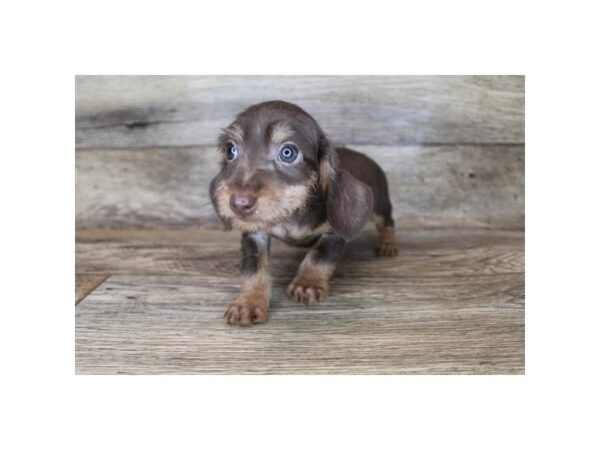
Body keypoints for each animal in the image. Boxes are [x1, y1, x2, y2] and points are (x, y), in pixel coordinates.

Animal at [209, 100, 396, 326]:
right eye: (230, 150)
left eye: (288, 152)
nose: (239, 203)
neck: (292, 213)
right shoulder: (255, 234)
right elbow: (254, 267)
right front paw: (249, 301)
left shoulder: (334, 233)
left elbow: (319, 254)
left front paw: (308, 283)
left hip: (380, 205)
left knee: (387, 222)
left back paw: (387, 243)